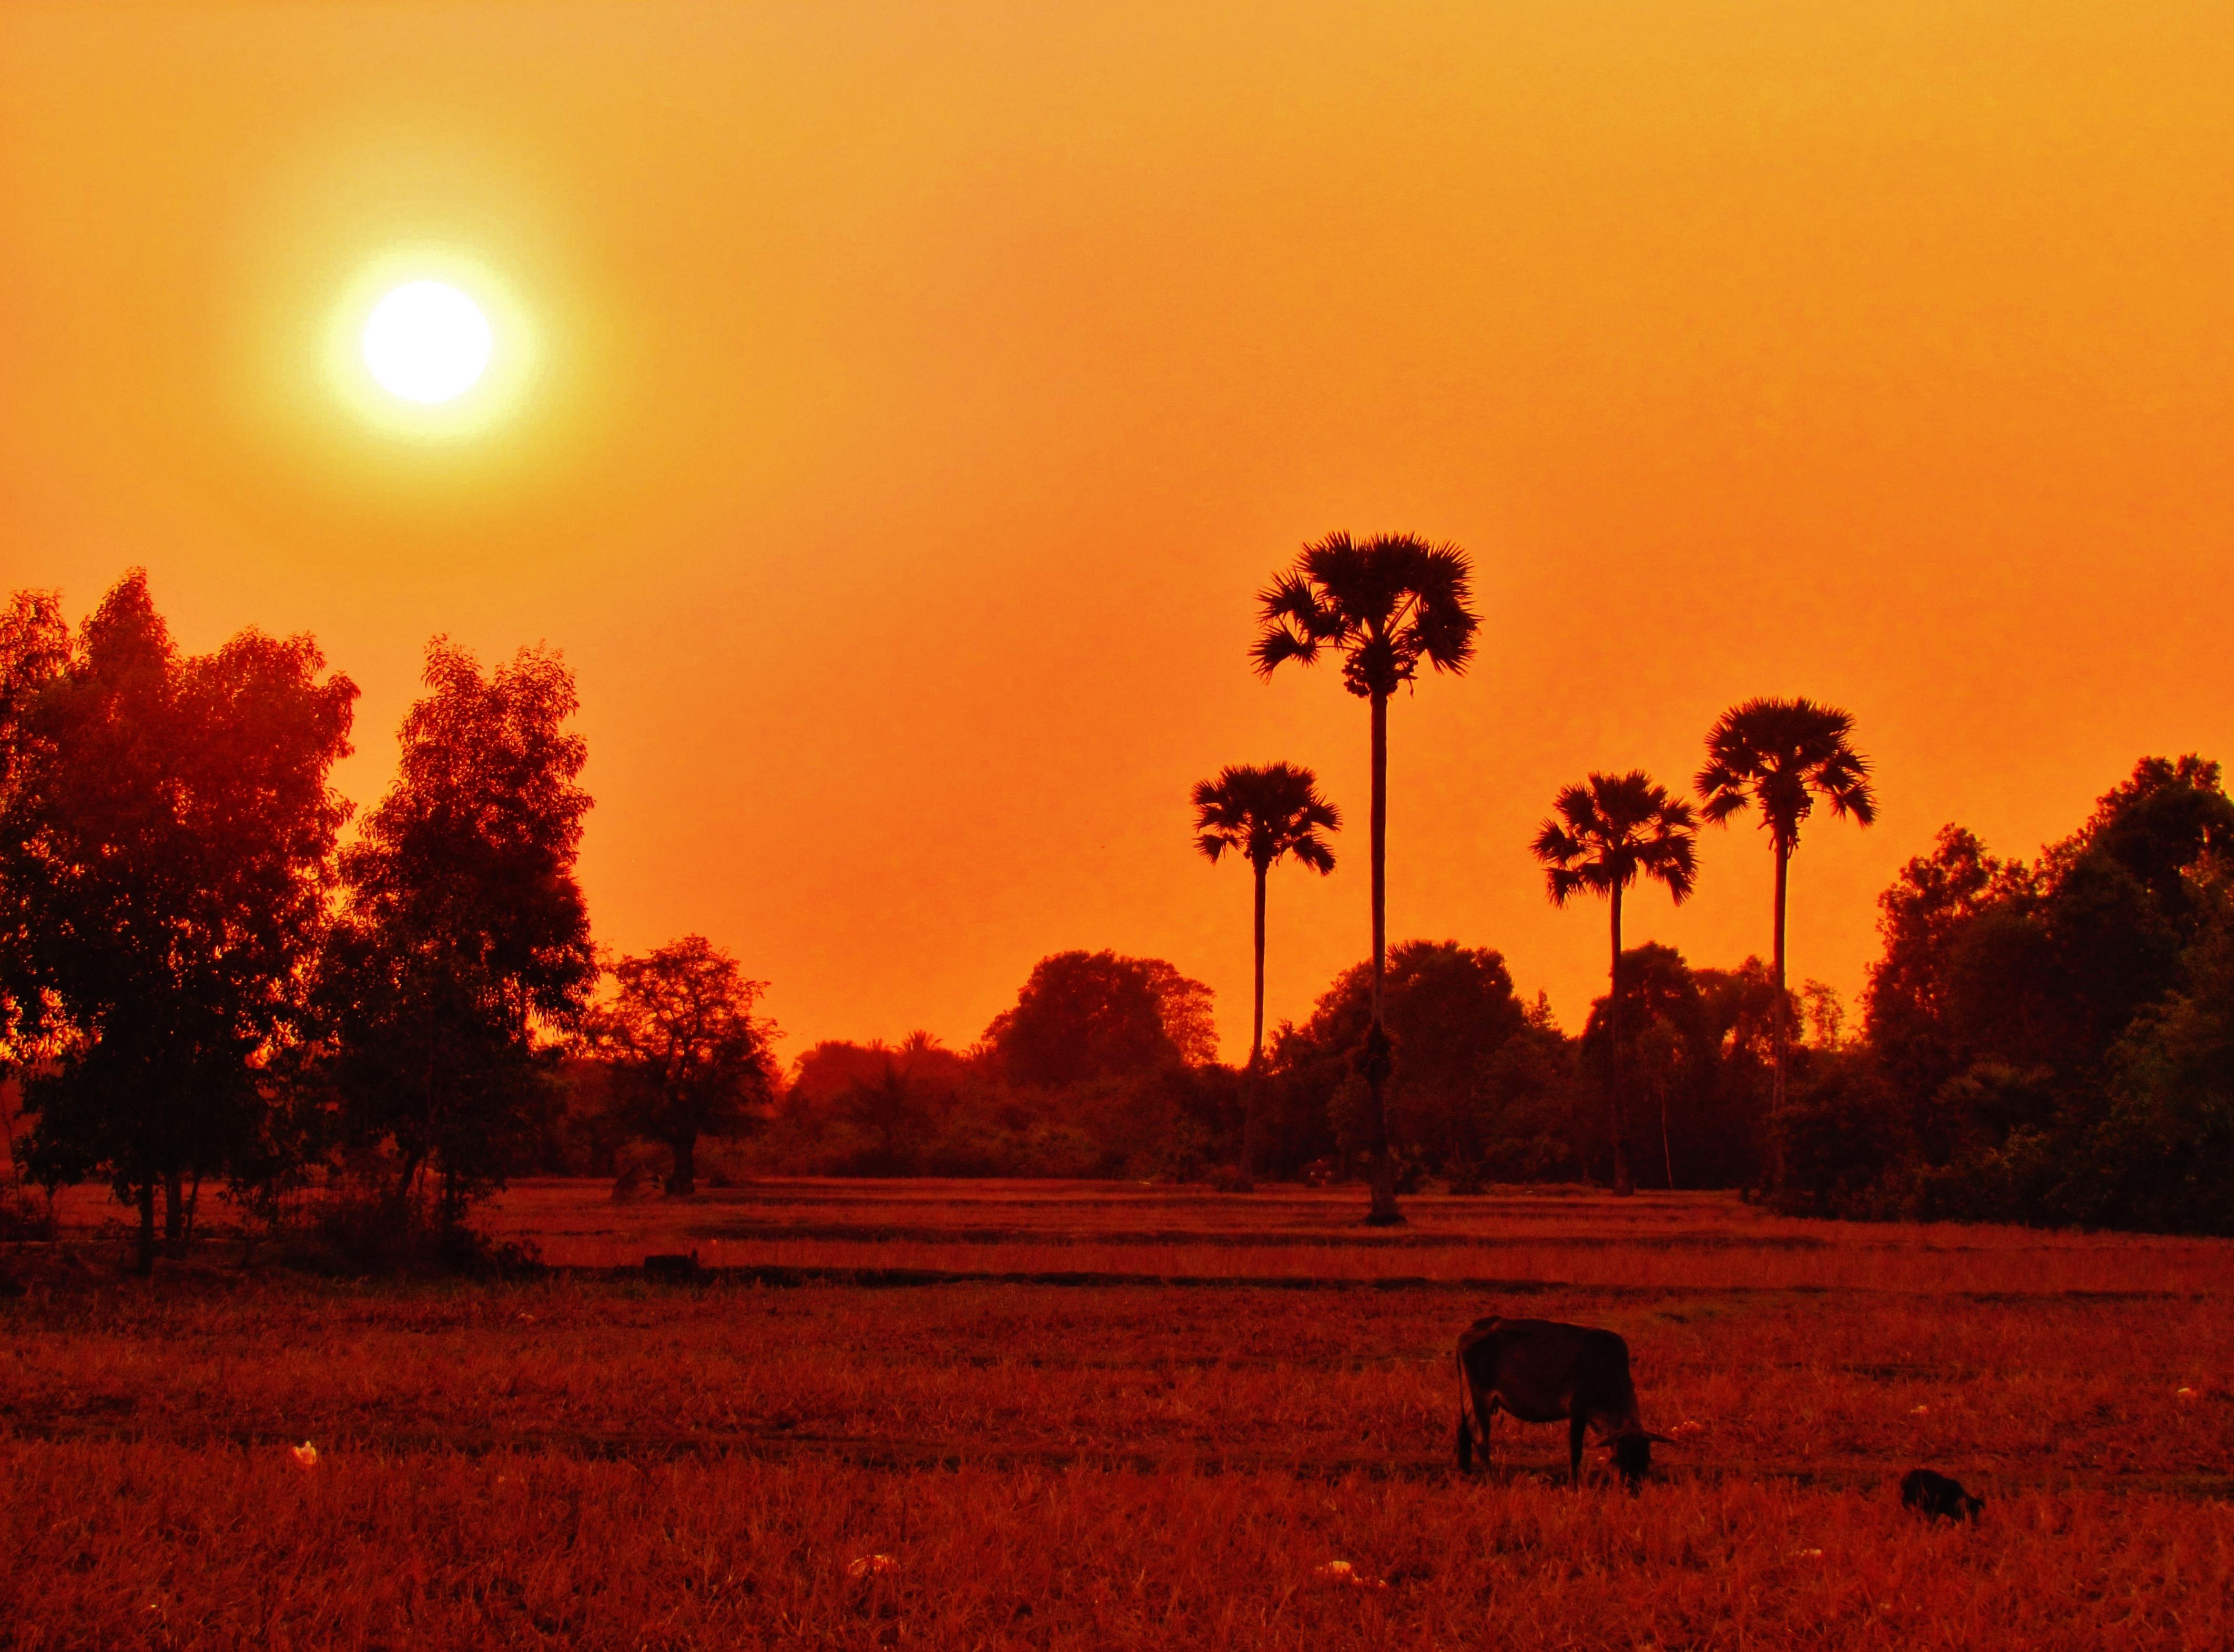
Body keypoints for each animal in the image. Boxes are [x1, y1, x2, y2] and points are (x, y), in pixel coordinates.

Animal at [1456, 1312, 1671, 1491]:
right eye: (1618, 1460)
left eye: (1646, 1460)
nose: (1633, 1490)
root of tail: (1471, 1328)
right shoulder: (1577, 1410)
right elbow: (1575, 1452)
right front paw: (1574, 1485)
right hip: (1480, 1395)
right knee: (1481, 1437)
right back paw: (1491, 1478)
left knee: (1464, 1428)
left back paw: (1465, 1471)